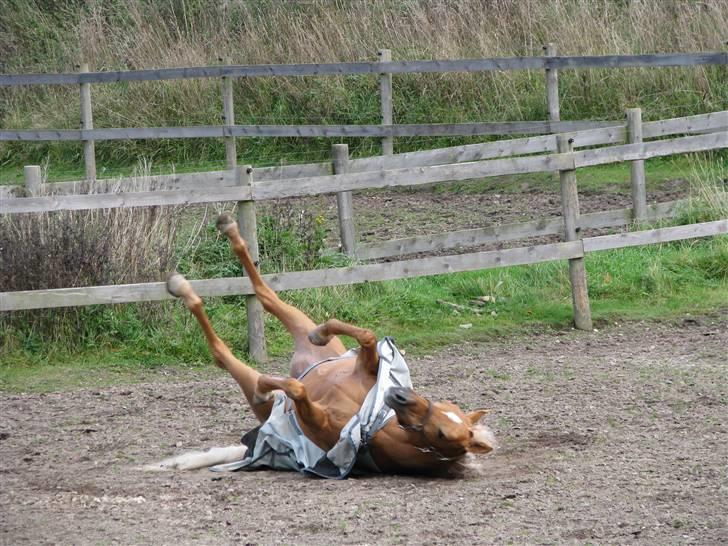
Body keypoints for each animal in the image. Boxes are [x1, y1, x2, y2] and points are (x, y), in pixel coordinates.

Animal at [152, 212, 494, 476]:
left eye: (441, 432)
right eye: (445, 405)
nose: (397, 395)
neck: (375, 425)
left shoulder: (314, 417)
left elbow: (297, 389)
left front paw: (269, 388)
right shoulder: (366, 365)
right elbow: (366, 335)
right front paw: (322, 332)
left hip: (251, 383)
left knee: (224, 351)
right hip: (300, 324)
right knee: (265, 294)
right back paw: (225, 233)